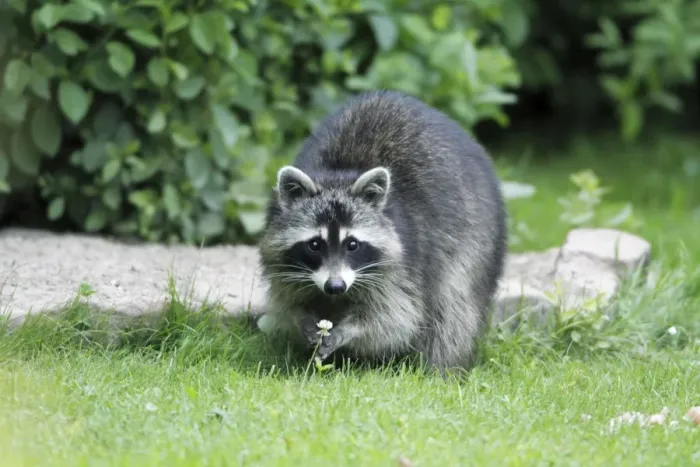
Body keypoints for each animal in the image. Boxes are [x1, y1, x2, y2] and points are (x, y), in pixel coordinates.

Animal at [257, 90, 507, 372]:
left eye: (352, 244)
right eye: (315, 244)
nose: (335, 286)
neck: (338, 175)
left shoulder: (404, 265)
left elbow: (396, 319)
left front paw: (349, 331)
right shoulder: (281, 263)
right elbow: (288, 301)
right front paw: (304, 319)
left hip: (476, 241)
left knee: (454, 309)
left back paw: (441, 368)